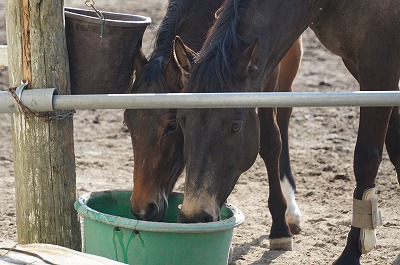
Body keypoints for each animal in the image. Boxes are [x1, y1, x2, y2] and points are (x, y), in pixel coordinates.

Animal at [177, 1, 400, 262]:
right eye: (182, 121)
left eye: (235, 126)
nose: (194, 216)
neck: (327, 5)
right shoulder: (358, 64)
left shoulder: (379, 64)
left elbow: (366, 159)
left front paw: (351, 253)